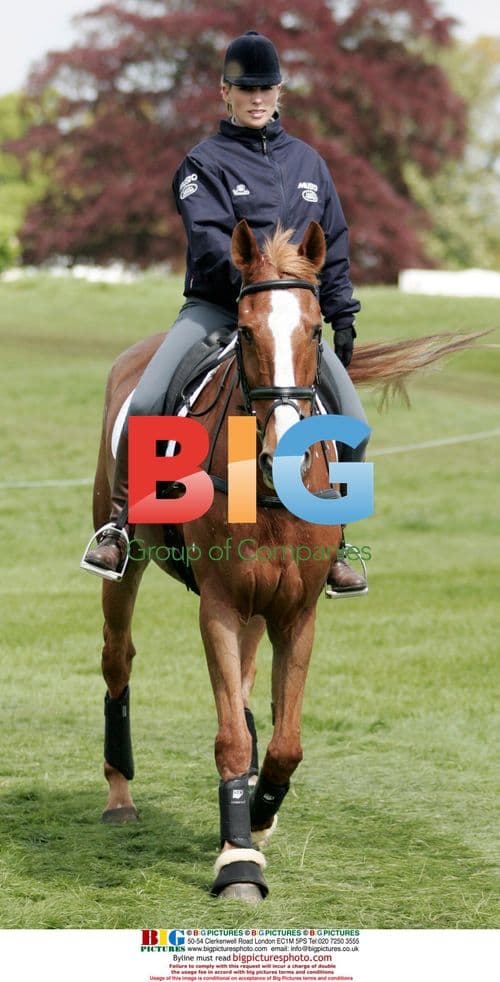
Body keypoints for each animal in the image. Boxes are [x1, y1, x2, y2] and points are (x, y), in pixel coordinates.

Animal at [86, 219, 482, 902]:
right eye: (246, 330)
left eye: (317, 330)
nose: (288, 452)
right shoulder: (220, 606)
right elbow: (229, 735)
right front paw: (238, 861)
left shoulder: (295, 612)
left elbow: (285, 741)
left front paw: (258, 815)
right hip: (128, 569)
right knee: (119, 661)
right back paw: (120, 796)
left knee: (244, 689)